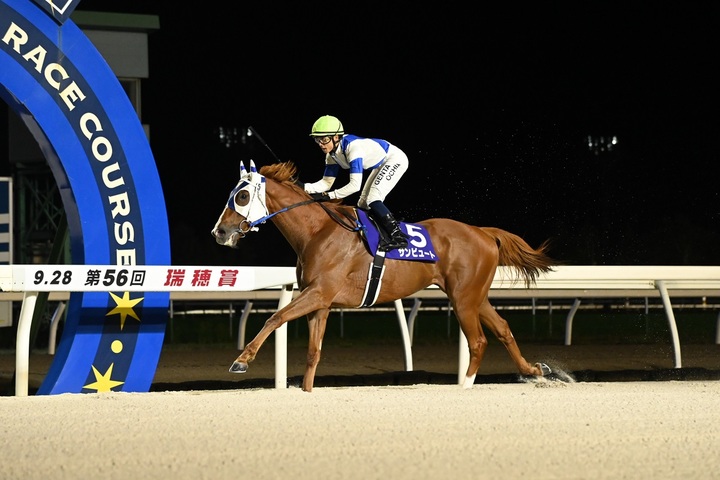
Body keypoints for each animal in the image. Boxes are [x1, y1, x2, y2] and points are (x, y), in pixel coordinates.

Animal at [211, 160, 557, 392]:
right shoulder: (320, 302)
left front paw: (241, 360)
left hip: (463, 299)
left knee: (479, 340)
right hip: (474, 296)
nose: (219, 232)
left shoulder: (319, 293)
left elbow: (275, 318)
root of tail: (483, 232)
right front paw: (307, 390)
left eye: (242, 196)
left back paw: (466, 386)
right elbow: (313, 352)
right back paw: (535, 369)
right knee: (503, 330)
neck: (317, 232)